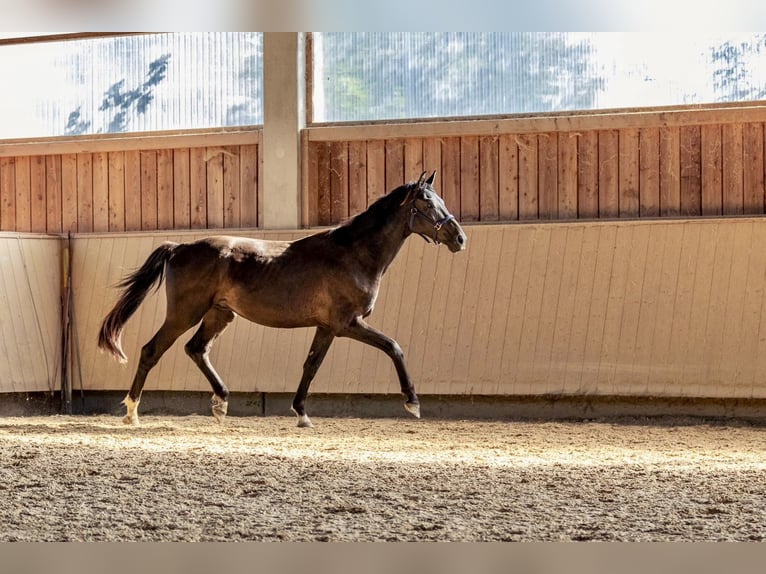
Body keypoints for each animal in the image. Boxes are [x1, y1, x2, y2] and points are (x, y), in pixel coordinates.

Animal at [96, 171, 468, 428]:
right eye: (428, 204)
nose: (460, 238)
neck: (353, 253)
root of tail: (179, 247)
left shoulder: (326, 327)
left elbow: (311, 365)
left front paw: (301, 413)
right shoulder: (347, 323)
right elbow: (393, 347)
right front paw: (412, 403)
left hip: (220, 314)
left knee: (196, 349)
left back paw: (221, 403)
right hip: (184, 313)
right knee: (152, 351)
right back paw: (132, 412)